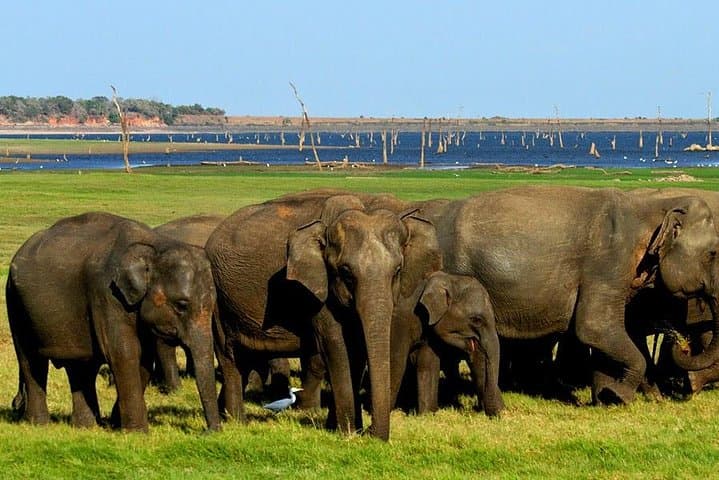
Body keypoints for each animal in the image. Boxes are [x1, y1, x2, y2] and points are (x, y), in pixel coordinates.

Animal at [6, 212, 221, 431]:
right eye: (182, 305)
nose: (210, 431)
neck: (154, 246)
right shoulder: (107, 294)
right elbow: (125, 352)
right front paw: (137, 432)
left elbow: (144, 357)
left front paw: (117, 424)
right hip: (15, 302)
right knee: (30, 359)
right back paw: (39, 424)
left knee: (80, 366)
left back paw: (86, 426)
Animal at [205, 192, 441, 440]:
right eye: (345, 272)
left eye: (397, 271)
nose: (371, 433)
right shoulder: (317, 291)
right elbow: (338, 347)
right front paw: (348, 433)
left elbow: (356, 350)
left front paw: (340, 428)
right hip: (218, 297)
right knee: (230, 357)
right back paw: (236, 422)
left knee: (246, 358)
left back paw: (226, 415)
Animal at [390, 271, 504, 416]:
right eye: (476, 320)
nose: (501, 415)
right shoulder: (399, 322)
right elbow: (396, 360)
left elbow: (428, 363)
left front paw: (427, 415)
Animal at [415, 185, 719, 405]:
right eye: (713, 253)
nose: (681, 344)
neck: (655, 206)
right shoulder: (608, 262)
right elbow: (594, 327)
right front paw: (619, 396)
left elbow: (608, 331)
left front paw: (606, 398)